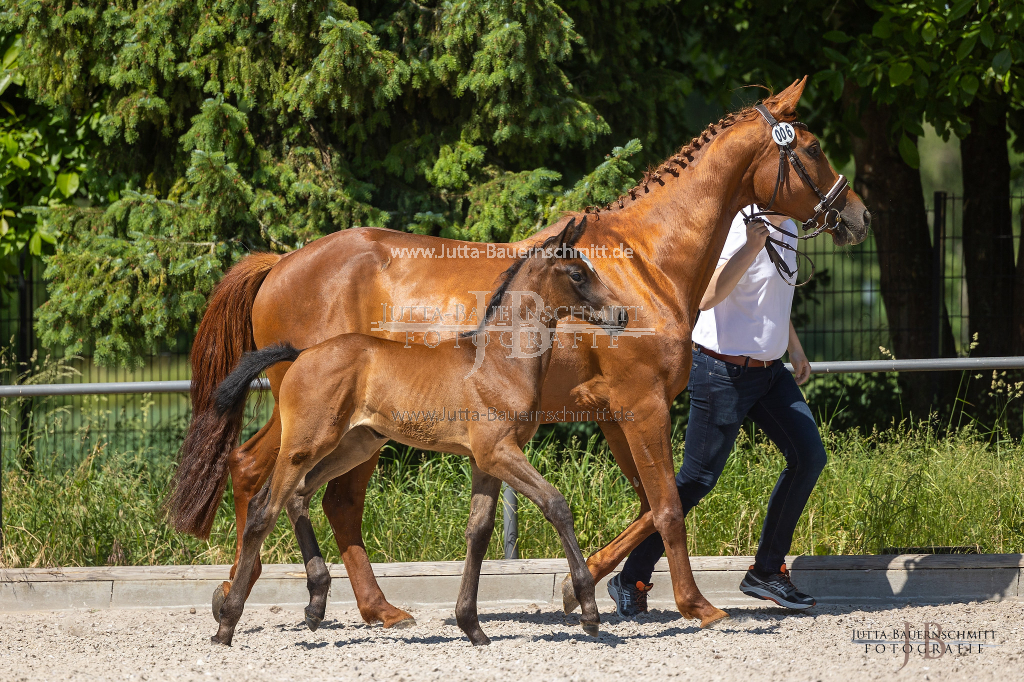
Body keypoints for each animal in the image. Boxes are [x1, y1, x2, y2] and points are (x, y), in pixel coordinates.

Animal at [200, 218, 622, 643]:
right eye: (577, 273)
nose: (620, 314)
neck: (499, 363)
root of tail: (302, 353)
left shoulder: (485, 461)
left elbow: (479, 532)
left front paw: (472, 626)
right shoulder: (499, 452)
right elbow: (556, 505)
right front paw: (588, 611)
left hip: (354, 444)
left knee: (299, 496)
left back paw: (316, 605)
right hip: (306, 442)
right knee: (264, 509)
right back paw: (227, 623)